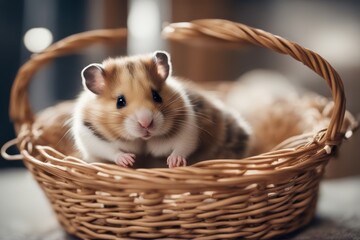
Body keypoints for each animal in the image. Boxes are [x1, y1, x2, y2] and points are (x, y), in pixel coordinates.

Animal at [71, 50, 250, 167]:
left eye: (156, 95)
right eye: (120, 102)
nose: (146, 123)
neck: (143, 140)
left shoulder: (188, 129)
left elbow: (182, 147)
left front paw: (174, 162)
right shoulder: (90, 136)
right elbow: (110, 150)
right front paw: (129, 160)